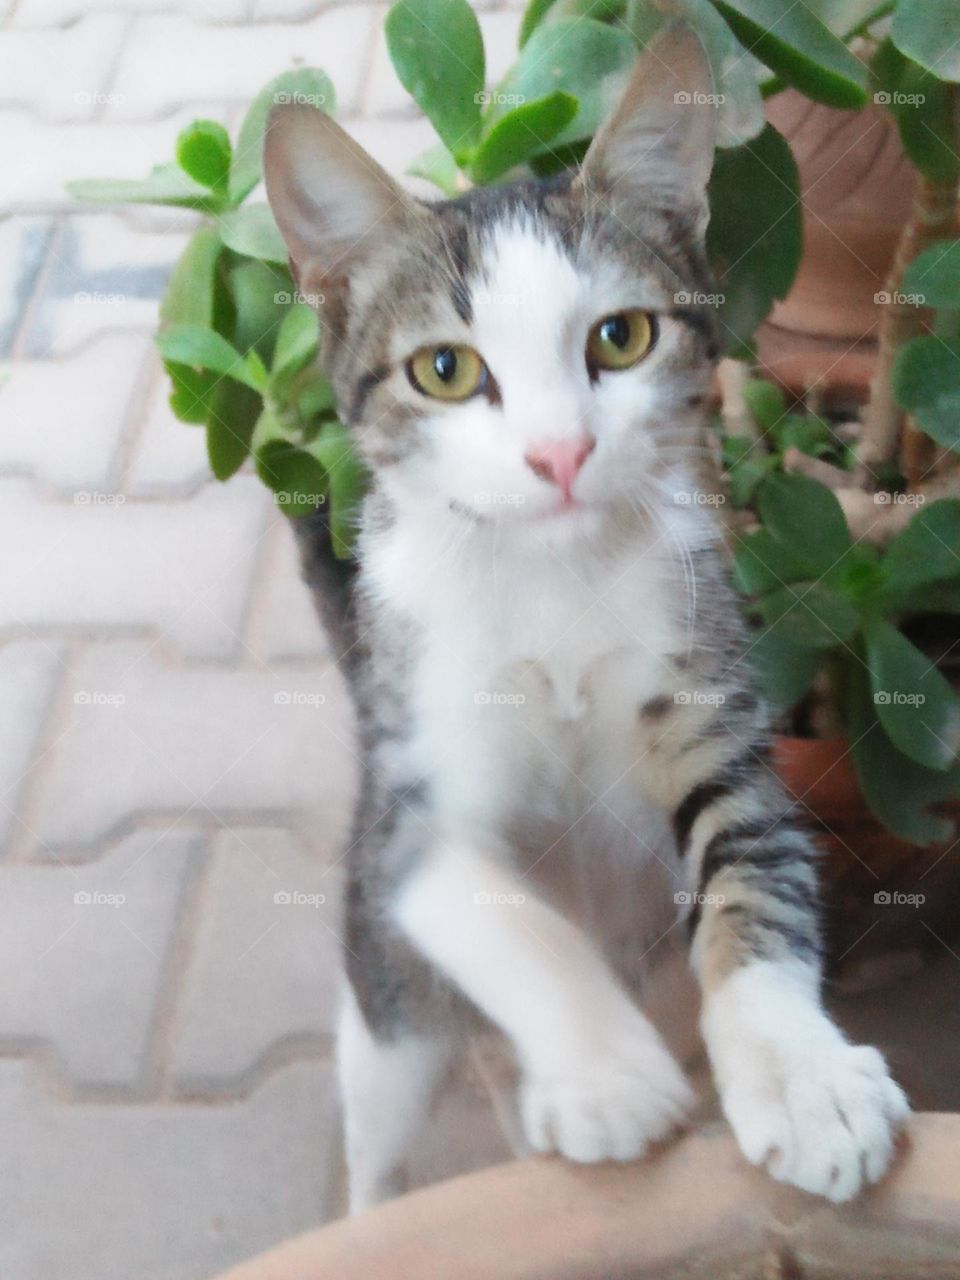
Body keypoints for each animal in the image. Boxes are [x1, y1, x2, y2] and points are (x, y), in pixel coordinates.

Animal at [263, 24, 911, 1213]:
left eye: (620, 337)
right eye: (445, 369)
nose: (560, 453)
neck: (549, 577)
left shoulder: (716, 703)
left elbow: (754, 872)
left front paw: (801, 1078)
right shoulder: (409, 813)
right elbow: (502, 910)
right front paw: (609, 1077)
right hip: (389, 1009)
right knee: (379, 1125)